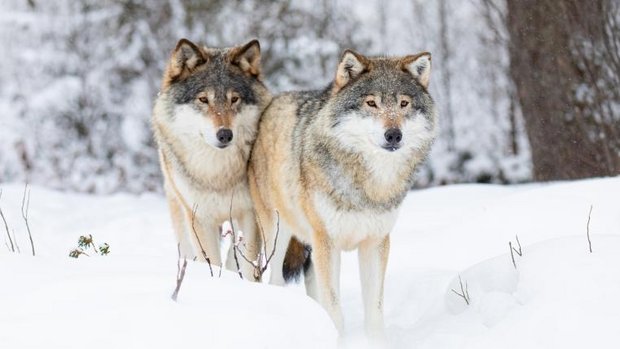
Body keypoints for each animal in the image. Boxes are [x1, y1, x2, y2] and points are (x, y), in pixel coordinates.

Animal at [153, 37, 272, 278]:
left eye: (234, 99)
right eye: (203, 99)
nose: (225, 134)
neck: (217, 175)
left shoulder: (249, 214)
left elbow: (248, 264)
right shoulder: (200, 218)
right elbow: (211, 263)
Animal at [247, 48, 436, 334]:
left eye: (403, 104)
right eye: (371, 103)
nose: (394, 135)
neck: (367, 186)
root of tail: (273, 102)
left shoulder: (375, 243)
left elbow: (374, 310)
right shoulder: (328, 242)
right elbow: (335, 307)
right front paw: (340, 338)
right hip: (279, 237)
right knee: (275, 279)